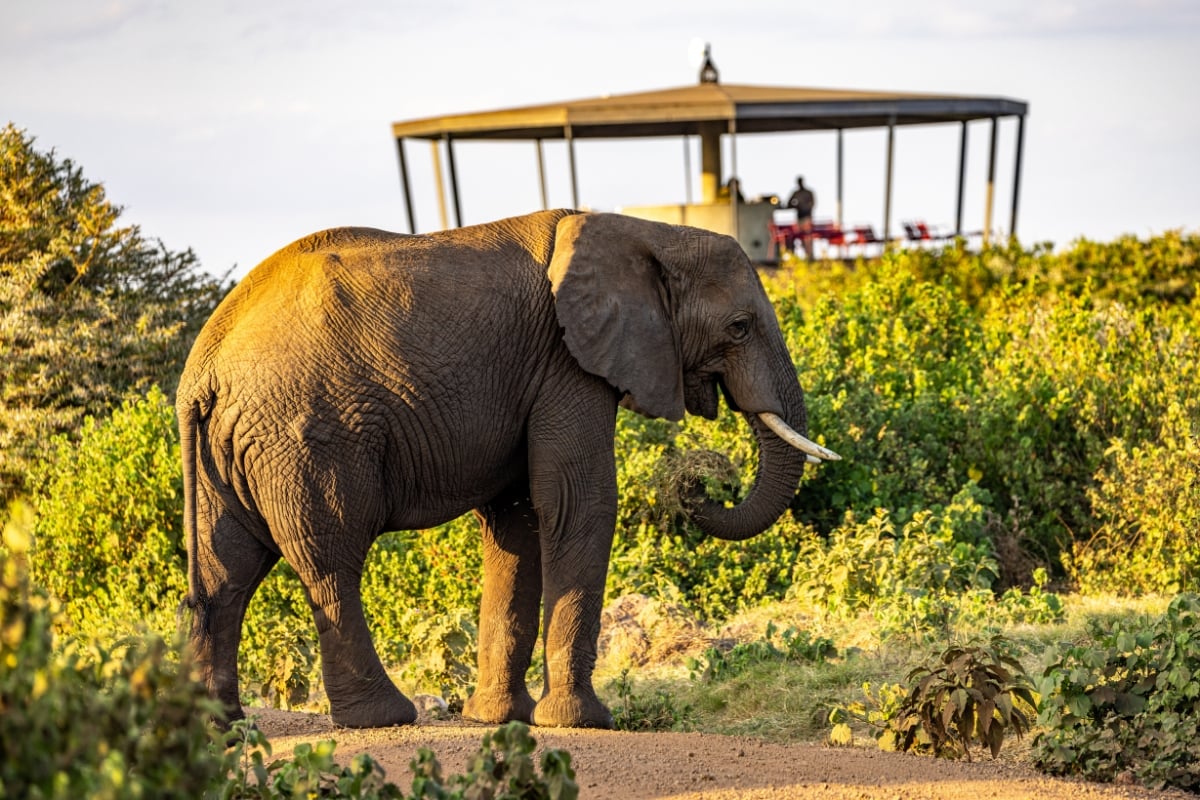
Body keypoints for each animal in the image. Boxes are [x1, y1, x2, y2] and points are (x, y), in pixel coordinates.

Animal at [177, 209, 838, 730]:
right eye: (739, 327)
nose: (701, 486)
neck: (646, 231)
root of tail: (202, 370)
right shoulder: (566, 363)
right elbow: (578, 501)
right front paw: (584, 723)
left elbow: (518, 523)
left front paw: (499, 718)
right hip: (305, 434)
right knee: (330, 560)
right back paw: (384, 718)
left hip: (230, 447)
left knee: (226, 571)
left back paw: (215, 723)